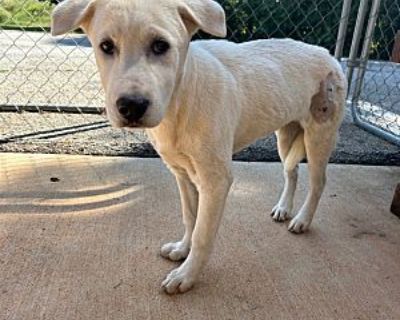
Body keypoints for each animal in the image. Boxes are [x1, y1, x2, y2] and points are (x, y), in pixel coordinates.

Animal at [52, 0, 346, 296]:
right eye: (106, 46)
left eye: (160, 46)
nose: (131, 107)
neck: (180, 102)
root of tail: (328, 54)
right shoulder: (183, 174)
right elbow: (190, 219)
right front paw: (183, 250)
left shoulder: (216, 181)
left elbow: (203, 233)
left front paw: (186, 276)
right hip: (285, 137)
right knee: (291, 171)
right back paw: (284, 208)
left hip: (318, 137)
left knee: (318, 183)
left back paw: (302, 220)